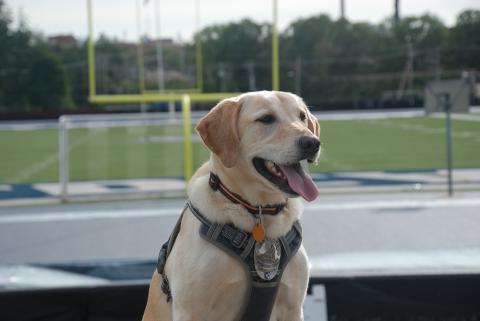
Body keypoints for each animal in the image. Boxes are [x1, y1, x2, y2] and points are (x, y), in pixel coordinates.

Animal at [143, 90, 322, 320]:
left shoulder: (292, 306)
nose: (312, 142)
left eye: (302, 116)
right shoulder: (191, 310)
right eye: (266, 119)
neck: (257, 211)